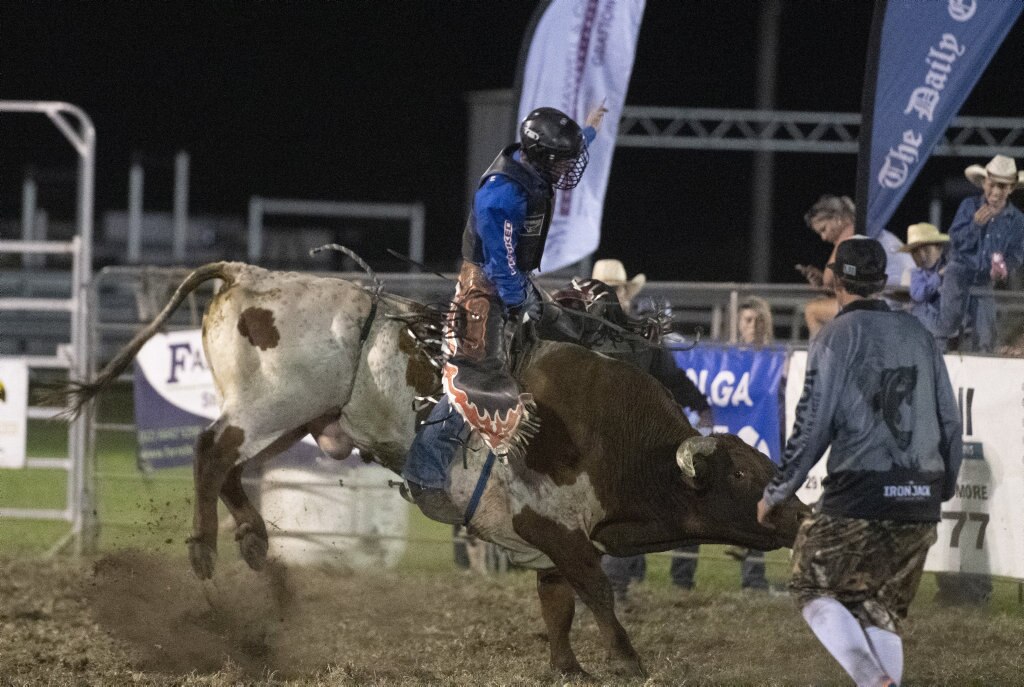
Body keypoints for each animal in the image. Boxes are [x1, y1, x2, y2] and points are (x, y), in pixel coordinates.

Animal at [61, 264, 806, 675]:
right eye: (743, 477)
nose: (796, 515)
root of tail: (249, 274)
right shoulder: (556, 525)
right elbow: (595, 589)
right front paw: (628, 659)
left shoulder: (546, 537)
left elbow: (559, 600)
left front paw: (569, 666)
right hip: (273, 404)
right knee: (211, 451)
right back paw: (205, 547)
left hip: (295, 416)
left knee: (230, 470)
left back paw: (253, 543)